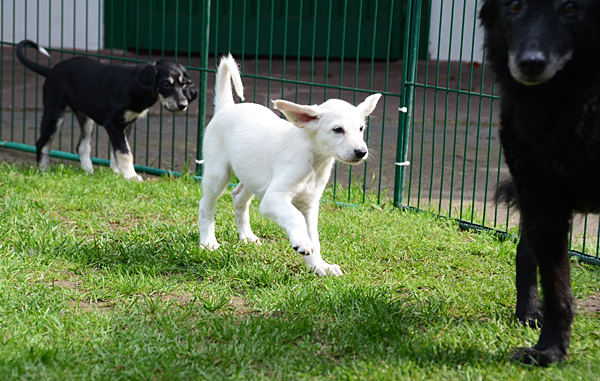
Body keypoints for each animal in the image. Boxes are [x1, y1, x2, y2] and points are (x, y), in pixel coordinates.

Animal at [16, 40, 198, 181]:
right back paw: (43, 170)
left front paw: (117, 172)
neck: (134, 86)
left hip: (86, 118)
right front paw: (131, 175)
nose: (183, 104)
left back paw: (88, 171)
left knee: (82, 146)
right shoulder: (114, 123)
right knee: (42, 143)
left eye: (183, 84)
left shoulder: (126, 124)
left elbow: (116, 150)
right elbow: (125, 152)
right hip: (55, 113)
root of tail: (52, 70)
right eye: (166, 84)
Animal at [199, 55, 382, 274]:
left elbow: (314, 238)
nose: (361, 152)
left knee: (238, 197)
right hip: (218, 174)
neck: (314, 161)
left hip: (252, 176)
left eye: (361, 128)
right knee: (206, 206)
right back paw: (208, 242)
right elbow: (295, 218)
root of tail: (226, 108)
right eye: (338, 129)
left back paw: (247, 236)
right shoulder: (274, 198)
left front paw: (319, 266)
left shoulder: (310, 204)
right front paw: (302, 243)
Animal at [480, 0, 600, 366]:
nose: (529, 64)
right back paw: (529, 311)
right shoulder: (544, 203)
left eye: (571, 8)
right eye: (514, 6)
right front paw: (550, 351)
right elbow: (557, 291)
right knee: (524, 252)